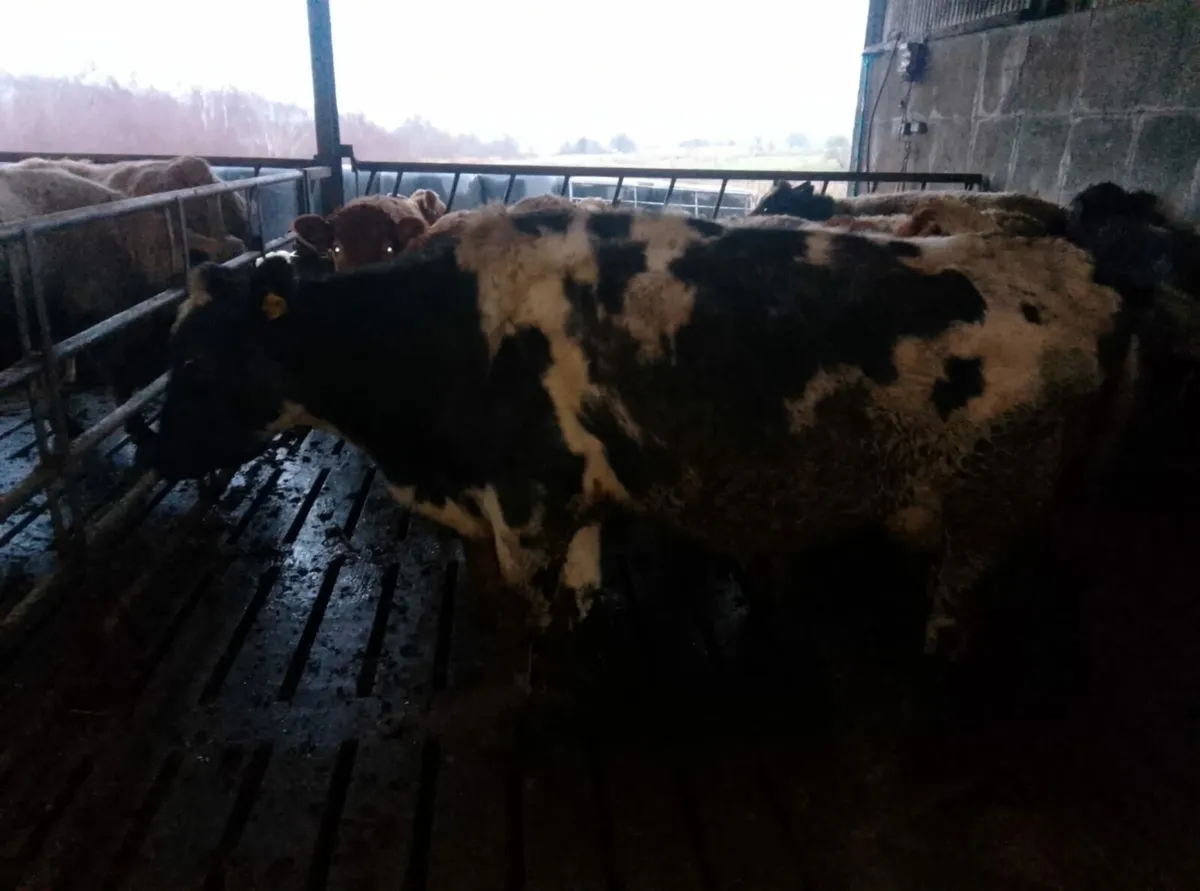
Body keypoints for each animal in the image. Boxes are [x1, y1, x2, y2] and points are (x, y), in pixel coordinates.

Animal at [151, 186, 1192, 734]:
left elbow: (531, 627)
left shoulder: (527, 503)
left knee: (951, 625)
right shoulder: (572, 505)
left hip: (984, 511)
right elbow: (572, 613)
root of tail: (1085, 270)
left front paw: (524, 711)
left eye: (195, 361)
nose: (152, 446)